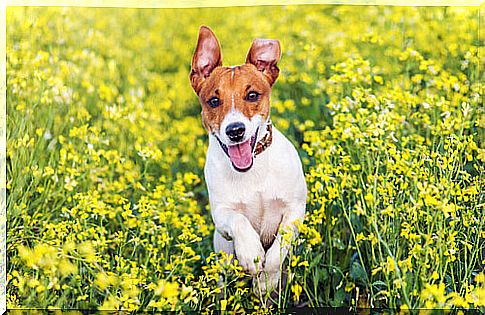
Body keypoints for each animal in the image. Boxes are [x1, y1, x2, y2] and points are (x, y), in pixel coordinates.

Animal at [189, 25, 306, 296]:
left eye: (252, 95)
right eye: (213, 101)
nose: (235, 131)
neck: (253, 172)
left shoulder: (295, 210)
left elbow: (278, 248)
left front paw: (266, 281)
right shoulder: (221, 215)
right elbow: (239, 220)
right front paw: (251, 253)